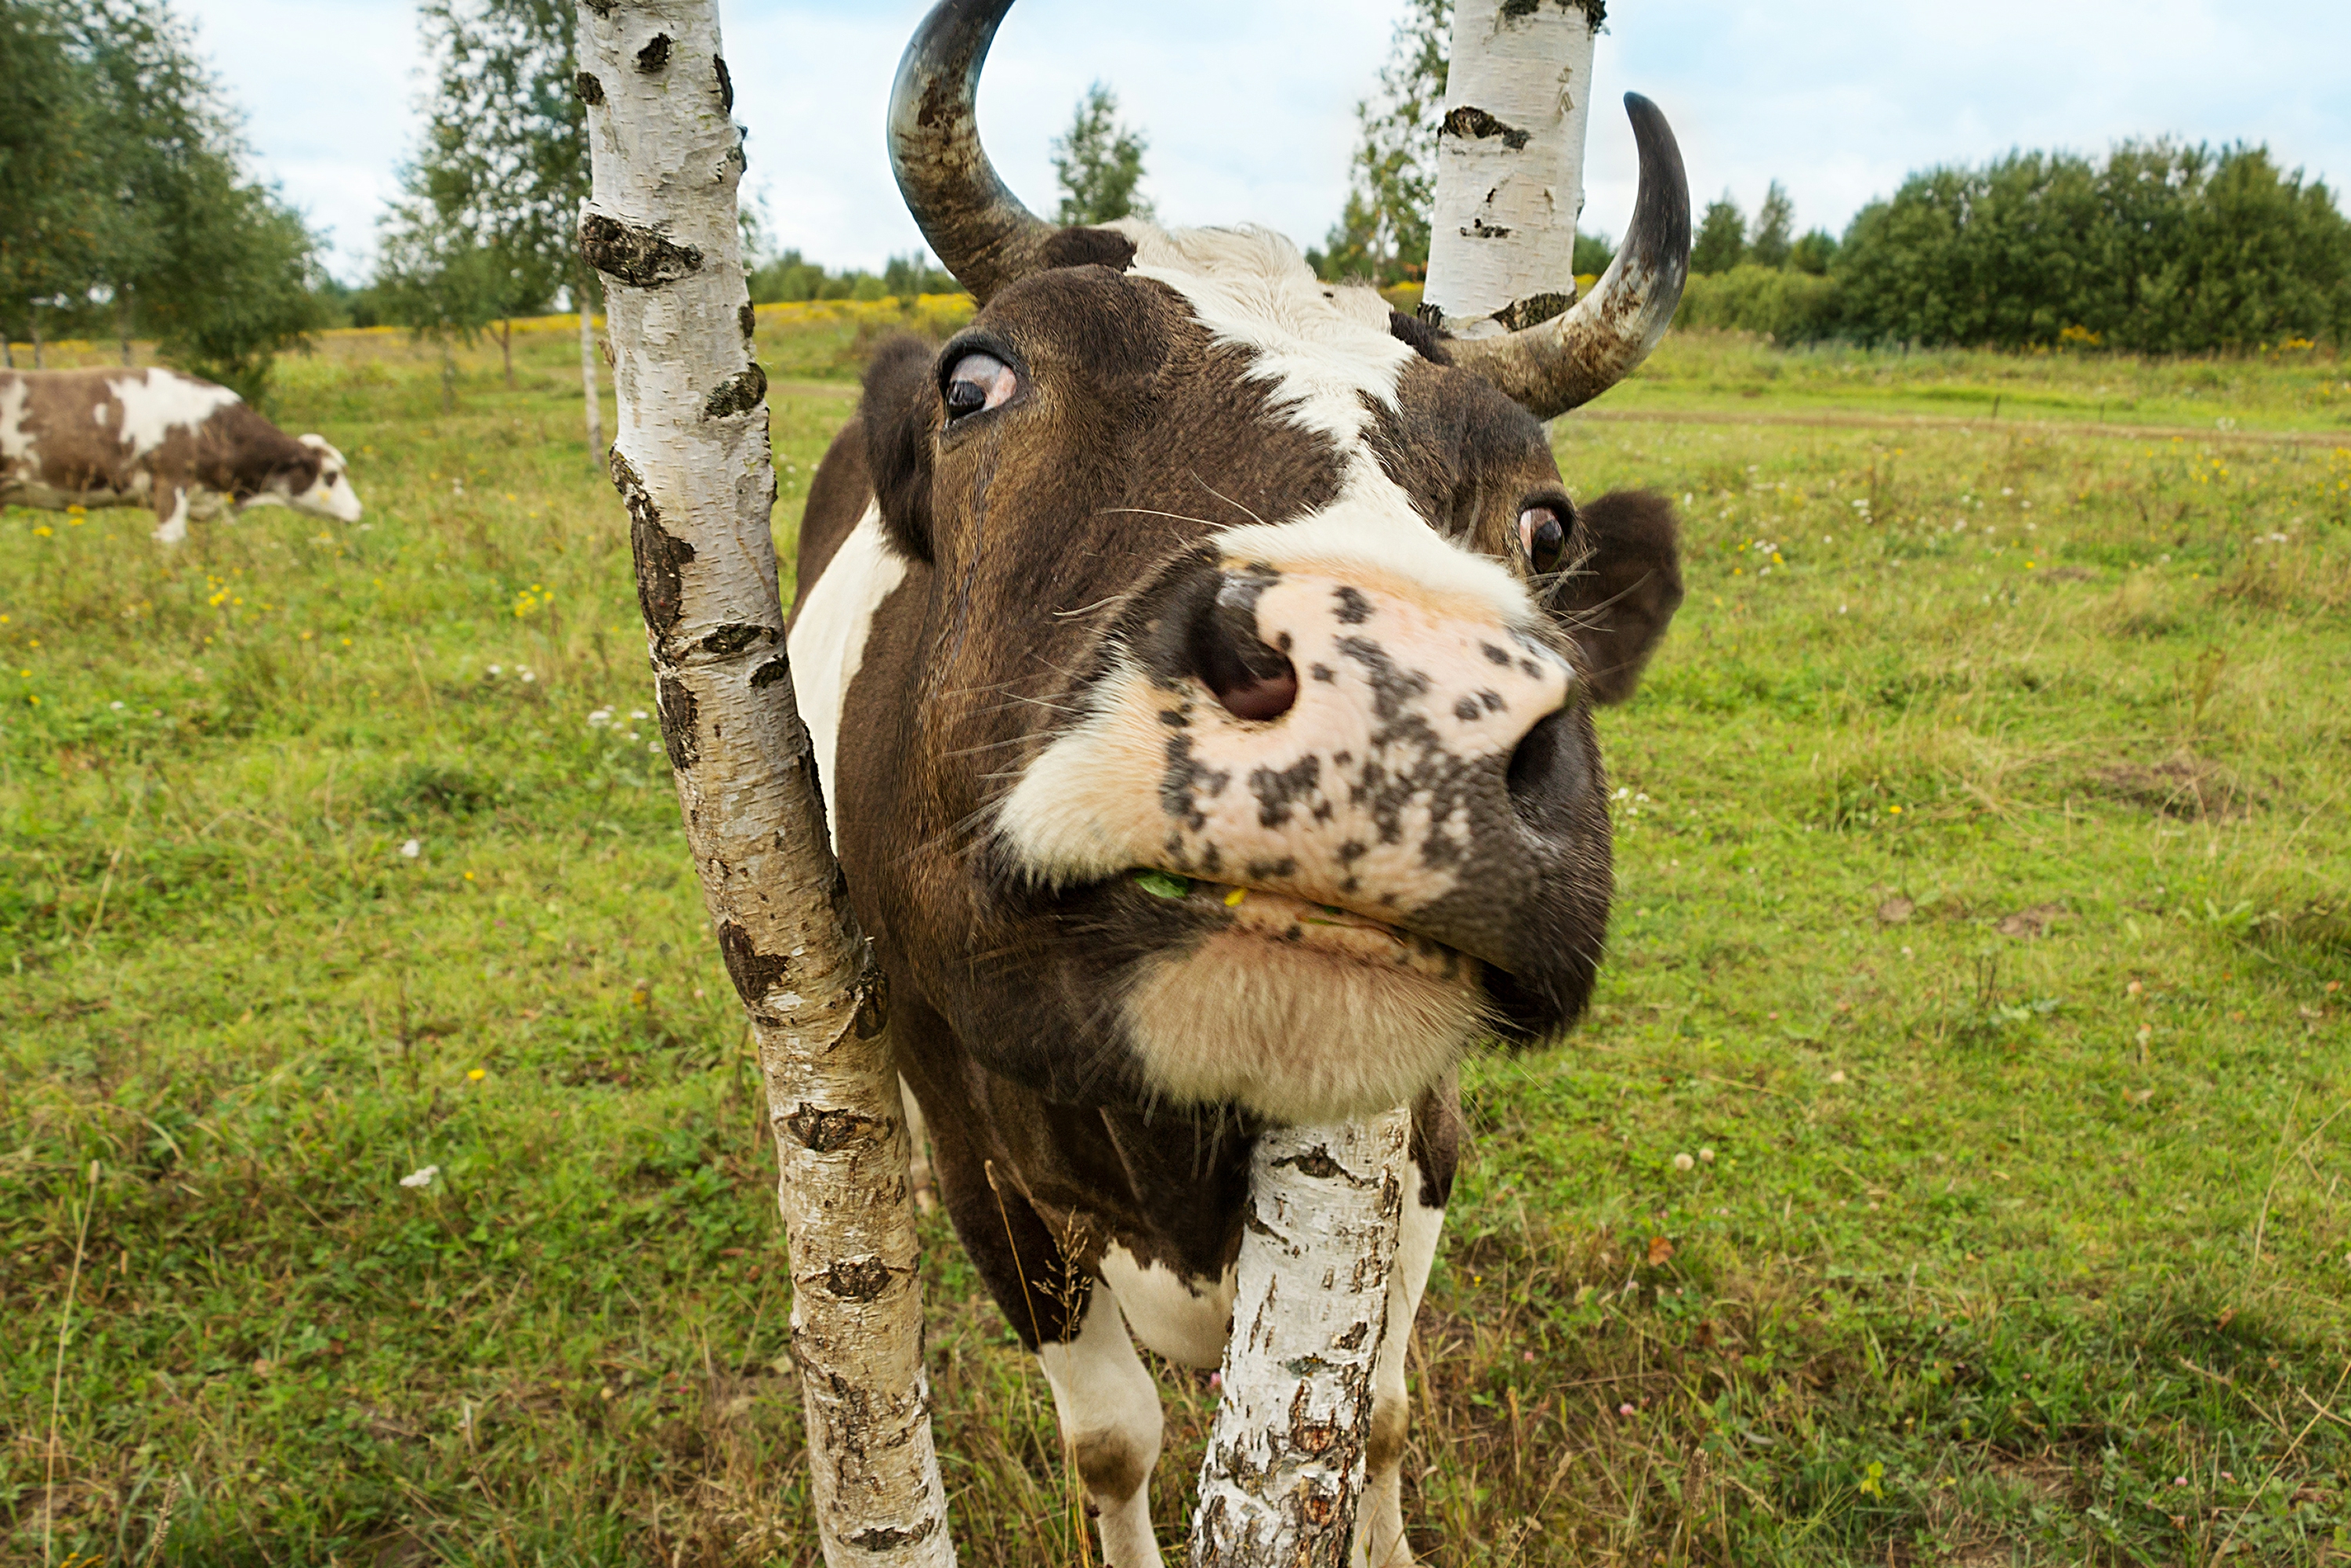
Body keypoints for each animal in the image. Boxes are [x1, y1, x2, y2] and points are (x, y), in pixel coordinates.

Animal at [790, 5, 1693, 1561]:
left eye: (1547, 523)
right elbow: (1110, 1438)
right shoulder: (979, 1150)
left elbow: (1375, 1410)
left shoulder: (1427, 1133)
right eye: (979, 383)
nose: (1405, 685)